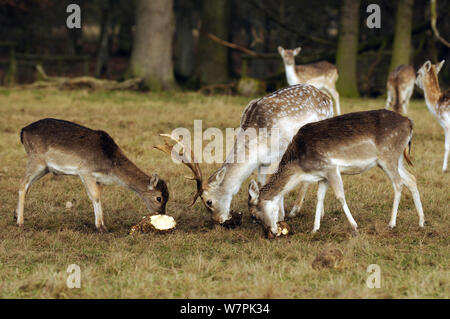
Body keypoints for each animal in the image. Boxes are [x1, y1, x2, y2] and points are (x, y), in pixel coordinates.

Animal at [16, 119, 169, 232]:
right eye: (159, 198)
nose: (160, 213)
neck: (110, 166)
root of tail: (23, 131)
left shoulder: (98, 179)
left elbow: (99, 196)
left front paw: (102, 225)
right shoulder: (85, 172)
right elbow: (94, 196)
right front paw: (101, 227)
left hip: (45, 168)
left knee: (27, 186)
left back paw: (15, 215)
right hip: (36, 160)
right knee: (22, 184)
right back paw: (20, 223)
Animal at [156, 84, 334, 226]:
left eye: (209, 201)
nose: (218, 221)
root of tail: (328, 98)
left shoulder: (281, 151)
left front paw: (280, 216)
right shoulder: (264, 161)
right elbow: (262, 182)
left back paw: (296, 211)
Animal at [248, 110, 424, 238]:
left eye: (255, 216)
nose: (270, 233)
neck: (301, 169)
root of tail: (410, 122)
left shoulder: (330, 168)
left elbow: (340, 196)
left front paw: (354, 226)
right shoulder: (322, 175)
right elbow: (320, 197)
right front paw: (315, 228)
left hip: (388, 157)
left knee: (398, 184)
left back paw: (392, 223)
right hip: (394, 159)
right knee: (411, 179)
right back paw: (422, 222)